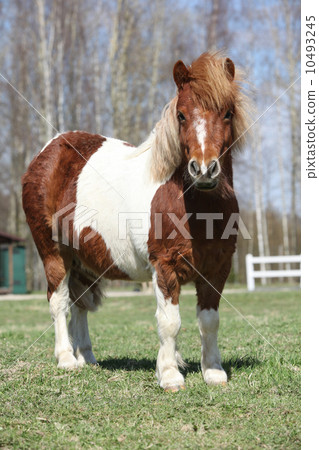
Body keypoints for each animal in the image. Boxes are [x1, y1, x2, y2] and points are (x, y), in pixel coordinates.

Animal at [22, 51, 250, 390]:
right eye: (181, 115)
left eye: (227, 113)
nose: (204, 169)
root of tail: (49, 150)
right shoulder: (165, 266)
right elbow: (170, 322)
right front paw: (169, 375)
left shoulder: (217, 268)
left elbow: (210, 320)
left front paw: (213, 371)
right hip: (54, 254)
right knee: (58, 301)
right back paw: (66, 359)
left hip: (83, 261)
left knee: (79, 306)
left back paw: (86, 358)